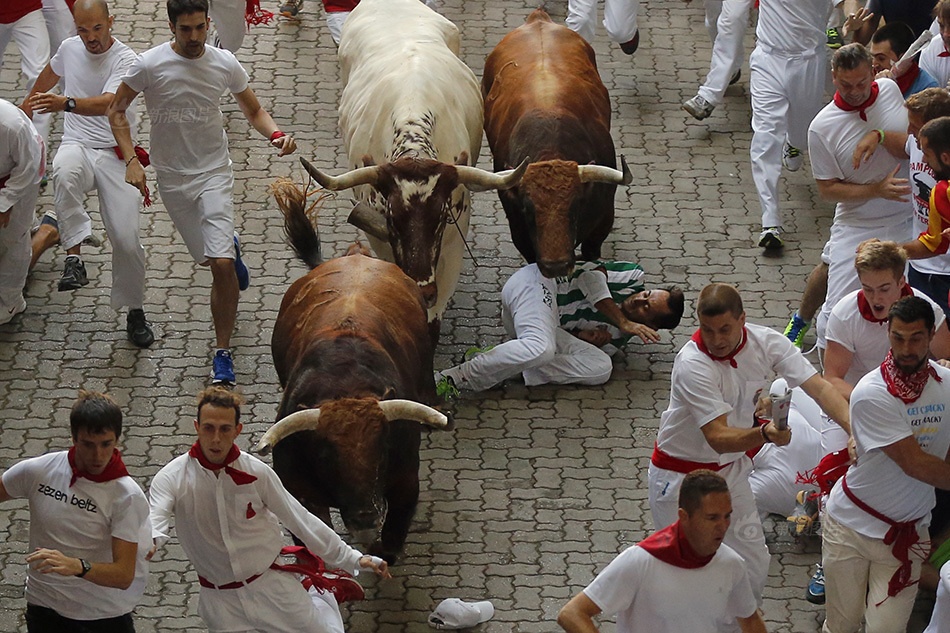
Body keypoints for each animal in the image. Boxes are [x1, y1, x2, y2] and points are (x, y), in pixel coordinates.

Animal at [258, 183, 448, 564]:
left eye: (381, 448)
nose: (365, 517)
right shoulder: (296, 490)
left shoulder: (406, 481)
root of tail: (357, 254)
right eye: (325, 456)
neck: (344, 383)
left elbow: (391, 542)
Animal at [484, 9, 632, 276]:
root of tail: (538, 19)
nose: (556, 265)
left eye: (575, 206)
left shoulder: (603, 219)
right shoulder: (519, 231)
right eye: (529, 209)